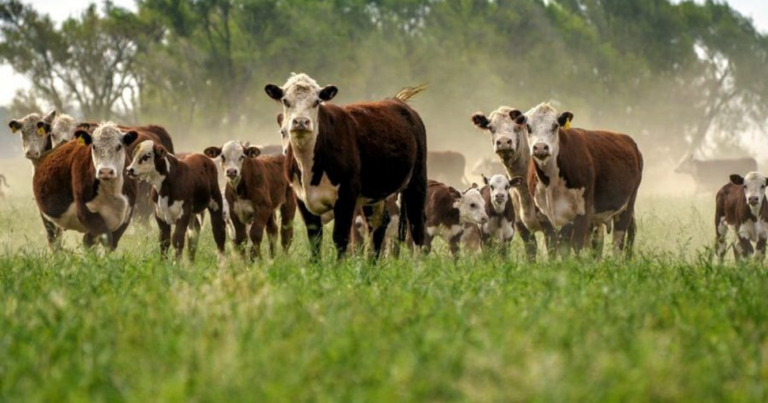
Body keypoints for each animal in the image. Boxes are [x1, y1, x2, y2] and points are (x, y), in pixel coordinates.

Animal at [31, 121, 140, 251]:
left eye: (119, 146)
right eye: (94, 146)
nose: (105, 171)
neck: (112, 191)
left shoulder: (126, 215)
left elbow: (110, 244)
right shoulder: (85, 212)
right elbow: (105, 239)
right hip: (48, 218)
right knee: (54, 241)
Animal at [266, 74, 428, 260]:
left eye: (317, 101)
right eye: (285, 101)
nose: (301, 122)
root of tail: (396, 101)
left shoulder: (346, 194)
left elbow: (340, 236)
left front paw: (339, 265)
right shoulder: (301, 198)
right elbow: (314, 238)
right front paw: (315, 264)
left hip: (417, 179)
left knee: (416, 223)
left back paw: (418, 263)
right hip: (374, 194)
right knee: (378, 224)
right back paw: (372, 263)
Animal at [472, 106, 556, 262]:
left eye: (518, 126)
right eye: (491, 127)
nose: (504, 142)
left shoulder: (551, 224)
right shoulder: (520, 225)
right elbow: (531, 250)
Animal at [524, 103, 644, 256]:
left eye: (555, 125)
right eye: (528, 126)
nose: (540, 148)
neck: (550, 181)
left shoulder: (582, 213)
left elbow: (577, 247)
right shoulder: (544, 217)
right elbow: (555, 249)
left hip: (626, 207)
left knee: (619, 242)